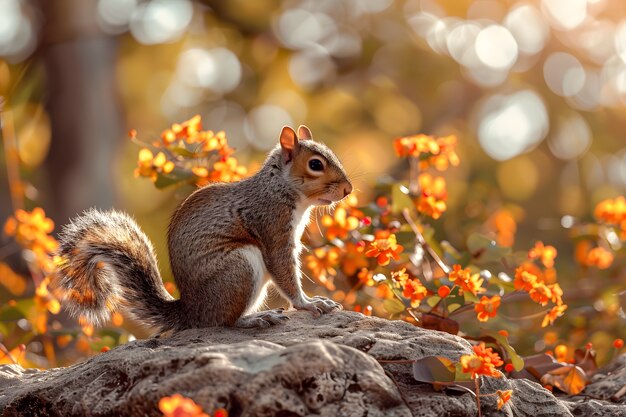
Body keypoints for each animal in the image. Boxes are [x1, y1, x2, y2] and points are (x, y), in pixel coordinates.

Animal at [51, 123, 354, 332]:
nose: (348, 190)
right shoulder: (272, 226)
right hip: (240, 267)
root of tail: (192, 311)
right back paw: (253, 319)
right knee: (222, 321)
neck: (281, 188)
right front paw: (310, 304)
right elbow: (285, 273)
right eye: (315, 164)